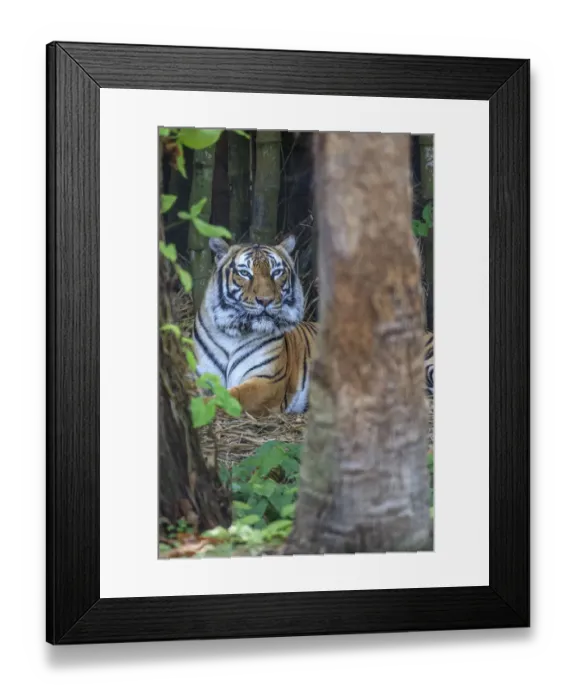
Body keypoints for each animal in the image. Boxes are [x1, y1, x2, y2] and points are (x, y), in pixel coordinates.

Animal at [191, 234, 319, 416]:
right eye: (245, 273)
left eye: (276, 272)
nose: (265, 300)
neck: (232, 334)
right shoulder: (201, 374)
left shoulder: (267, 381)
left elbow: (228, 397)